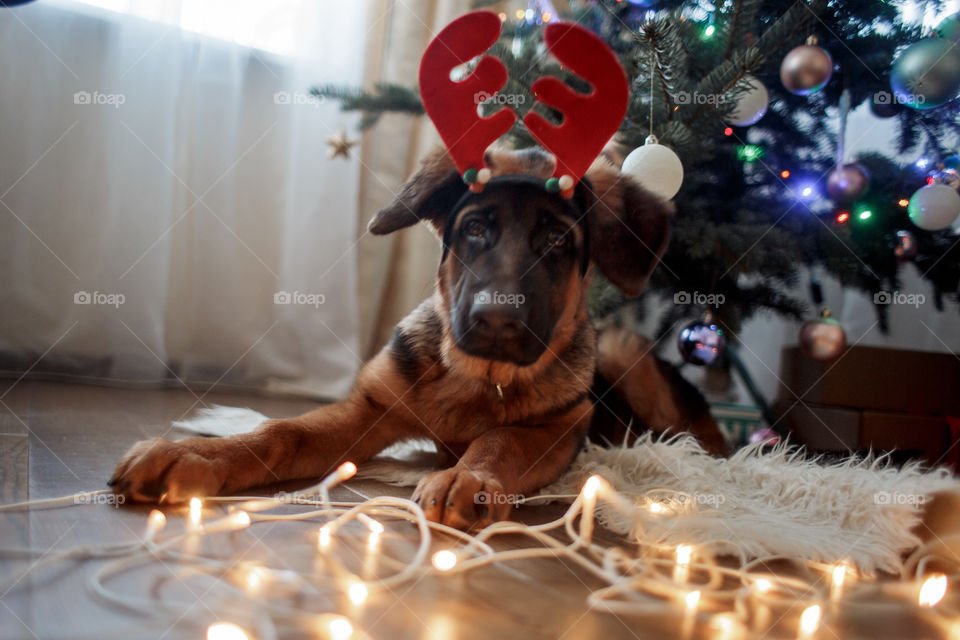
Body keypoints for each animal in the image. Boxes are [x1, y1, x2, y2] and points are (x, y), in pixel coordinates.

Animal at [110, 146, 728, 528]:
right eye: (475, 228)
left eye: (556, 241)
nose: (497, 321)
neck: (482, 379)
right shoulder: (368, 410)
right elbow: (279, 432)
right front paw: (198, 452)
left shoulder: (556, 429)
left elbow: (500, 439)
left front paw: (467, 476)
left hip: (627, 356)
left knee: (703, 437)